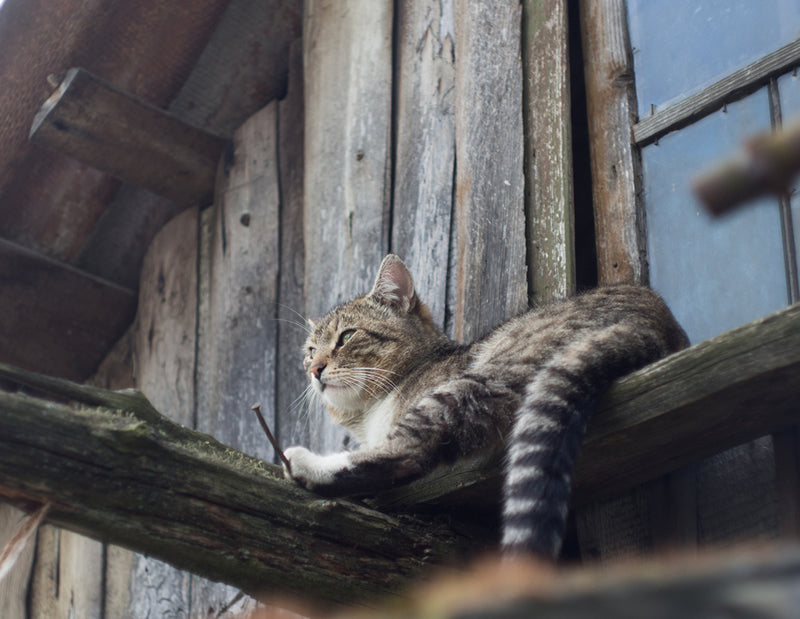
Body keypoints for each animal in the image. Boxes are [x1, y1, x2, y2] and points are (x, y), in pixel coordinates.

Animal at [282, 254, 688, 560]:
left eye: (347, 337)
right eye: (309, 351)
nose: (314, 368)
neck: (370, 412)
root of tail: (652, 323)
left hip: (476, 383)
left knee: (406, 454)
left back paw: (306, 464)